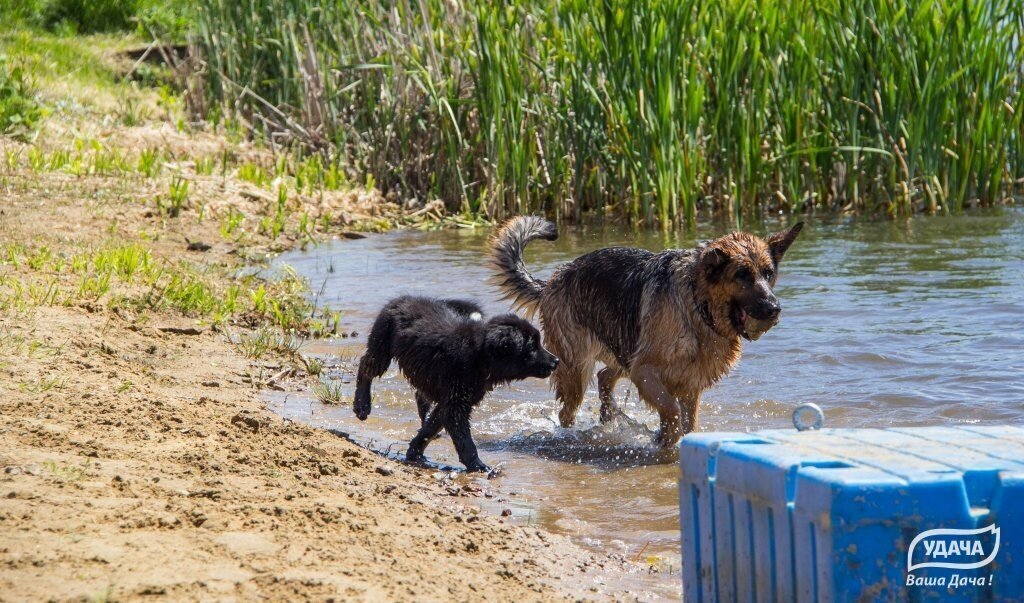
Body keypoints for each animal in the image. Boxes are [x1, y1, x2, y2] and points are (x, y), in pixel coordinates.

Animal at [352, 294, 561, 470]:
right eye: (532, 347)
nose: (556, 361)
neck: (480, 355)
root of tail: (401, 298)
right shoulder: (456, 404)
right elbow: (464, 440)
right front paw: (479, 466)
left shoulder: (450, 401)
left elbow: (429, 429)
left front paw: (415, 453)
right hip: (381, 346)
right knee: (365, 367)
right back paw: (362, 405)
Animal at [491, 216, 802, 446]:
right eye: (741, 275)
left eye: (768, 274)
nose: (774, 308)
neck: (696, 306)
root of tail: (551, 282)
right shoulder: (645, 372)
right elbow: (671, 410)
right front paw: (665, 438)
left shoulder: (690, 385)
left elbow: (689, 421)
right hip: (577, 370)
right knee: (568, 410)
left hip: (623, 351)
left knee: (605, 377)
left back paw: (609, 417)